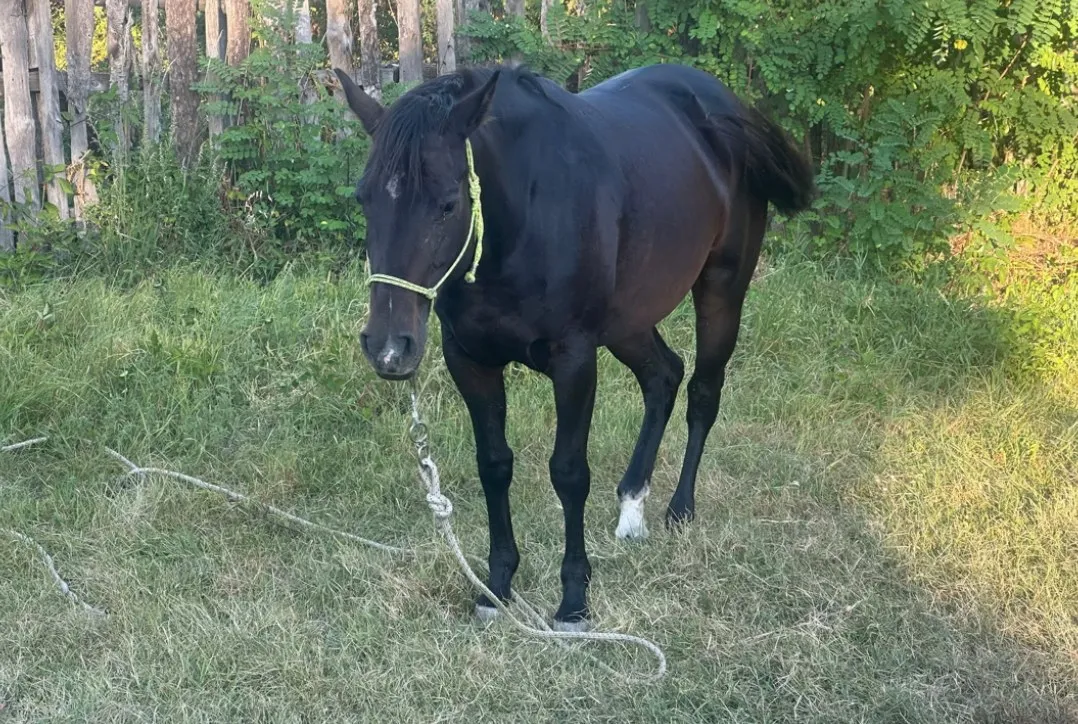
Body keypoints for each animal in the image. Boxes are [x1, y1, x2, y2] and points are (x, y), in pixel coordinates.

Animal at [333, 62, 815, 631]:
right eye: (363, 198)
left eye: (448, 204)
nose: (388, 348)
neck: (523, 217)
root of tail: (723, 105)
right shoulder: (470, 361)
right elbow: (493, 465)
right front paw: (497, 586)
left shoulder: (575, 361)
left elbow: (568, 473)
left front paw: (573, 599)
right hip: (629, 320)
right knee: (663, 375)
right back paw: (632, 506)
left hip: (721, 291)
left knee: (702, 392)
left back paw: (680, 509)